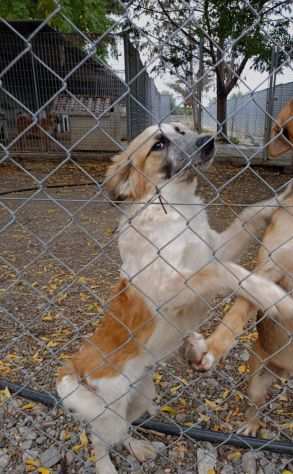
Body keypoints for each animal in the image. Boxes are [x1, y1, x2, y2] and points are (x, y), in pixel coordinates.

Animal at [56, 121, 292, 470]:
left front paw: (281, 198)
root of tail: (75, 367)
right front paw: (272, 294)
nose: (209, 141)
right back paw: (105, 466)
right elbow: (223, 271)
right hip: (106, 413)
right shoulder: (170, 287)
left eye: (181, 129)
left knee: (125, 430)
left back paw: (139, 448)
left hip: (141, 397)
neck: (179, 211)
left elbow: (248, 216)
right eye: (158, 144)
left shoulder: (215, 247)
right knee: (100, 440)